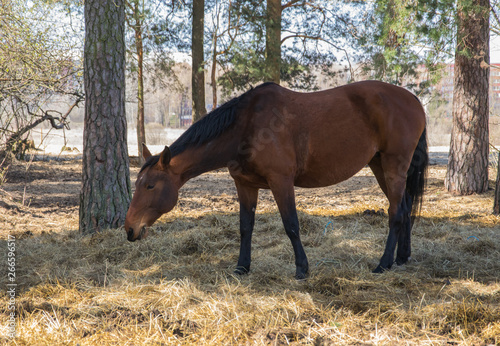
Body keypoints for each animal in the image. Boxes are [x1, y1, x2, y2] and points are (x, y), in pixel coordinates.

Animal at [124, 80, 426, 278]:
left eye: (150, 185)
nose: (129, 229)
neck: (247, 126)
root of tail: (413, 99)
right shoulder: (244, 185)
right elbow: (245, 226)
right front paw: (241, 267)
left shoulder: (281, 182)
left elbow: (291, 224)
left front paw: (302, 268)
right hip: (379, 165)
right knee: (405, 208)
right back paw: (402, 258)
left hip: (393, 165)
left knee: (395, 213)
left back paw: (383, 264)